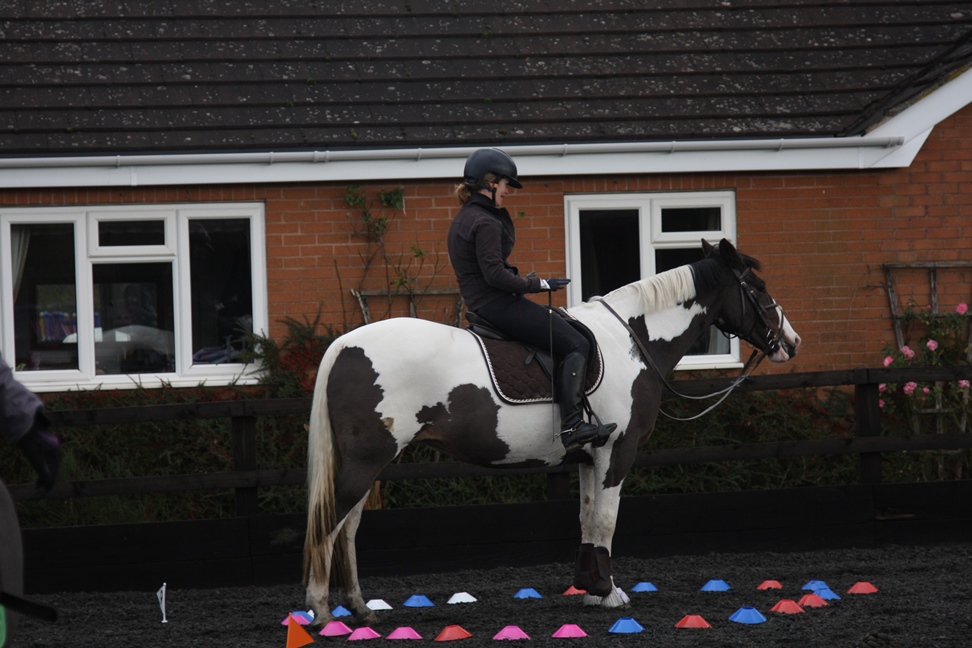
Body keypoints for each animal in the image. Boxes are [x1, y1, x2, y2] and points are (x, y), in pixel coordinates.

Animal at [303, 238, 801, 624]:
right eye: (757, 287)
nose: (791, 342)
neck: (629, 340)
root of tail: (344, 344)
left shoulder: (587, 455)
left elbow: (586, 517)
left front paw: (591, 587)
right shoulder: (616, 452)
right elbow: (606, 519)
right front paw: (608, 592)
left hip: (371, 464)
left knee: (348, 528)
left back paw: (359, 608)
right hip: (366, 461)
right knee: (331, 523)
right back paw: (323, 612)